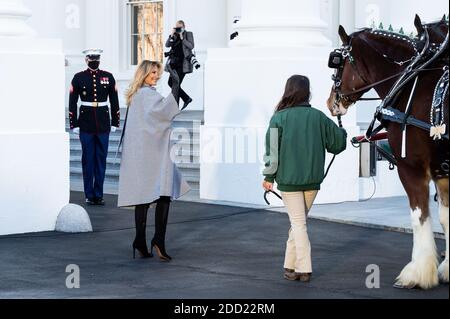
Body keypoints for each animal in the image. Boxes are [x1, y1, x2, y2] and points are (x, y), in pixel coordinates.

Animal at [326, 21, 448, 290]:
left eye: (337, 62)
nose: (331, 102)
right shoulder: (442, 173)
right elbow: (446, 218)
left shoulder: (411, 167)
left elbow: (419, 216)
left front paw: (418, 273)